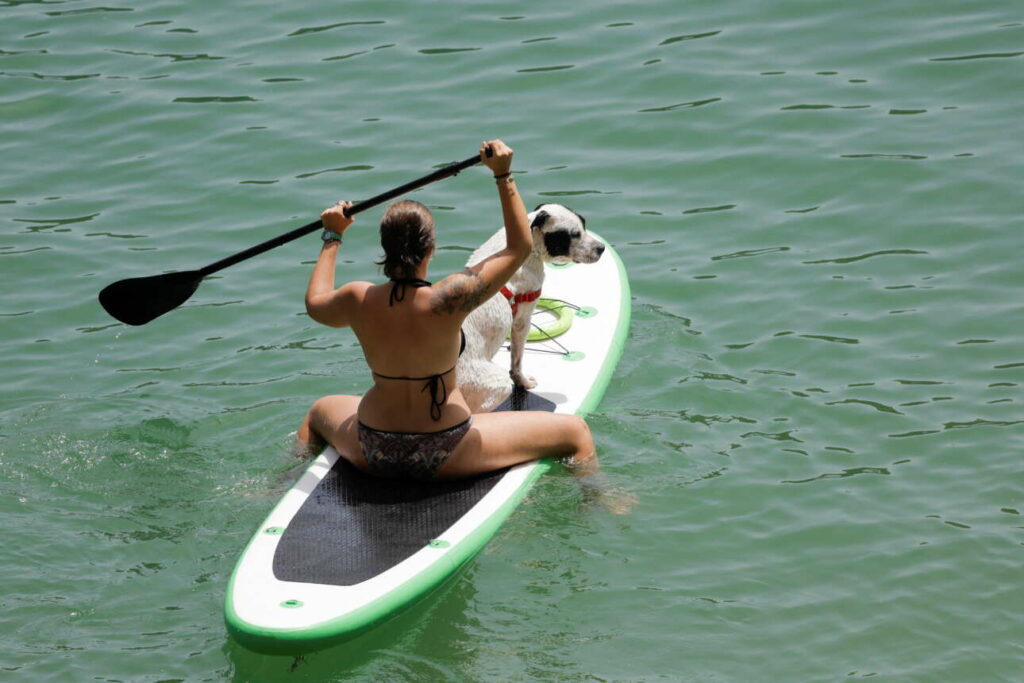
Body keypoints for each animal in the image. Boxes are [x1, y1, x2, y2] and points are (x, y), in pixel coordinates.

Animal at [458, 202, 606, 411]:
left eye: (584, 225)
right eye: (574, 234)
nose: (602, 248)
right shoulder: (522, 320)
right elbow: (517, 361)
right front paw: (524, 382)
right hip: (494, 385)